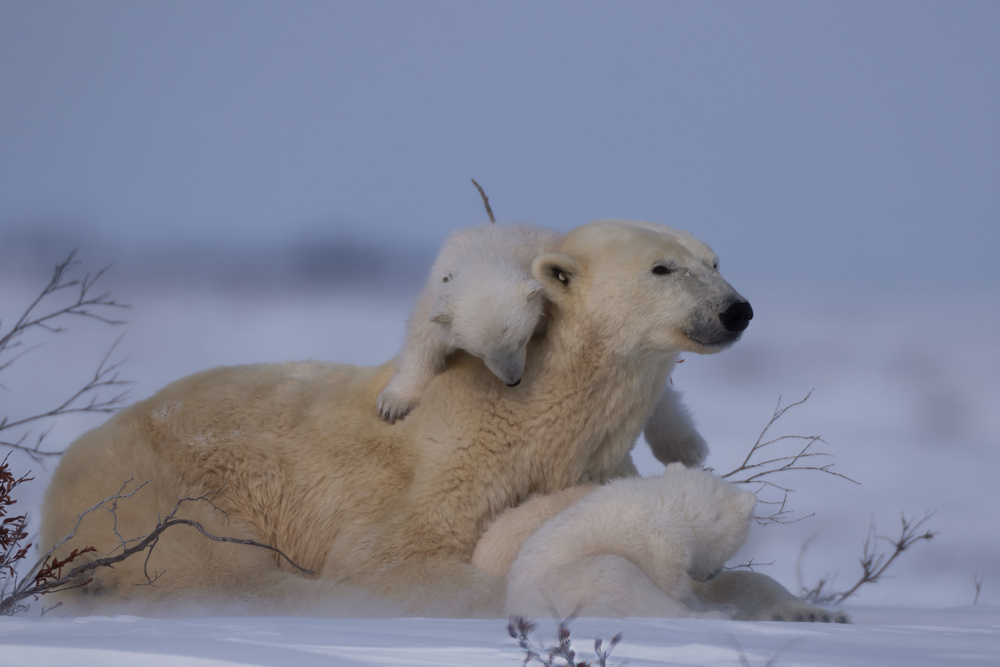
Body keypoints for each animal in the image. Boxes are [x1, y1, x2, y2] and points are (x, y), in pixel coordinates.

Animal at [376, 224, 564, 422]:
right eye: (480, 353)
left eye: (522, 340)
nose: (513, 380)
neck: (482, 255)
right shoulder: (435, 299)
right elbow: (421, 341)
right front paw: (393, 405)